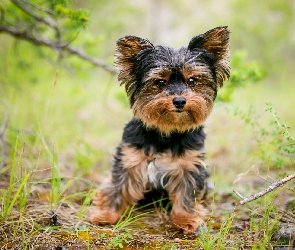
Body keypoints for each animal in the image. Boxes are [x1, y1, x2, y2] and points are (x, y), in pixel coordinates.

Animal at [91, 26, 230, 233]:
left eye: (192, 80)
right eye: (160, 82)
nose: (179, 101)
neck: (166, 132)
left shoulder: (189, 164)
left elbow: (186, 194)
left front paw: (186, 219)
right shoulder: (130, 159)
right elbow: (119, 187)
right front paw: (106, 214)